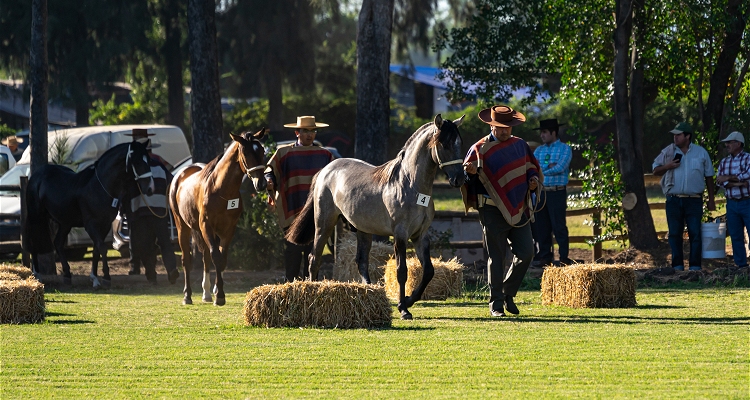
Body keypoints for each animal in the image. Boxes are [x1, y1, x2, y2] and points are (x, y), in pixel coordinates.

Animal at [23, 141, 156, 288]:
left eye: (149, 160)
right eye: (137, 162)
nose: (150, 188)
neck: (100, 186)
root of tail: (36, 175)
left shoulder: (105, 225)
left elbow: (97, 249)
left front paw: (95, 278)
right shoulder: (90, 224)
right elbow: (102, 247)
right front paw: (106, 278)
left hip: (65, 222)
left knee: (58, 243)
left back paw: (67, 275)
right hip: (36, 216)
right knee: (35, 240)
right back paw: (37, 275)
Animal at [170, 130, 268, 304]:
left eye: (262, 150)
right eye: (246, 152)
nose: (261, 183)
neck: (220, 189)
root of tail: (180, 175)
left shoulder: (228, 229)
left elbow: (222, 259)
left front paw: (218, 291)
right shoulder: (206, 226)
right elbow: (216, 257)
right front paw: (220, 296)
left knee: (205, 257)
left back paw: (207, 293)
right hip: (183, 226)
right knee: (187, 260)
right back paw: (187, 295)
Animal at [286, 113, 464, 318]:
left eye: (459, 142)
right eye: (444, 144)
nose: (460, 178)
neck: (410, 184)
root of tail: (325, 170)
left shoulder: (420, 236)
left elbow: (428, 271)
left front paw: (409, 300)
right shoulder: (400, 235)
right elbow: (401, 271)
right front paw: (403, 308)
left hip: (363, 229)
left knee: (361, 261)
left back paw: (369, 292)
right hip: (324, 224)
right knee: (314, 258)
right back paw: (313, 290)